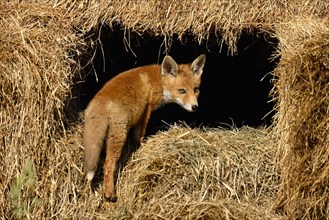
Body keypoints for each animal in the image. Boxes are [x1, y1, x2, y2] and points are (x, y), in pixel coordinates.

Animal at [82, 54, 205, 202]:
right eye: (182, 91)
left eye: (196, 90)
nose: (195, 107)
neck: (160, 81)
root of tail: (100, 100)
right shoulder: (147, 108)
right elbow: (139, 135)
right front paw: (142, 145)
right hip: (119, 135)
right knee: (108, 164)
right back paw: (109, 193)